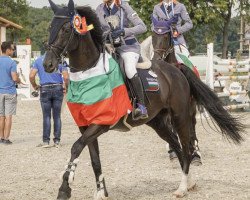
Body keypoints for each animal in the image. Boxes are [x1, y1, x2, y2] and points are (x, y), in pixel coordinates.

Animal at [43, 0, 244, 199]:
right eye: (50, 27)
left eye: (66, 29)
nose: (48, 64)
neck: (90, 72)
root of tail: (176, 69)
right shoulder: (85, 125)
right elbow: (94, 160)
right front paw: (101, 193)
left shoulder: (101, 123)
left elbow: (76, 147)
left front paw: (64, 189)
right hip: (158, 122)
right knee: (177, 146)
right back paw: (190, 182)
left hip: (180, 116)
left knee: (186, 147)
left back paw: (182, 187)